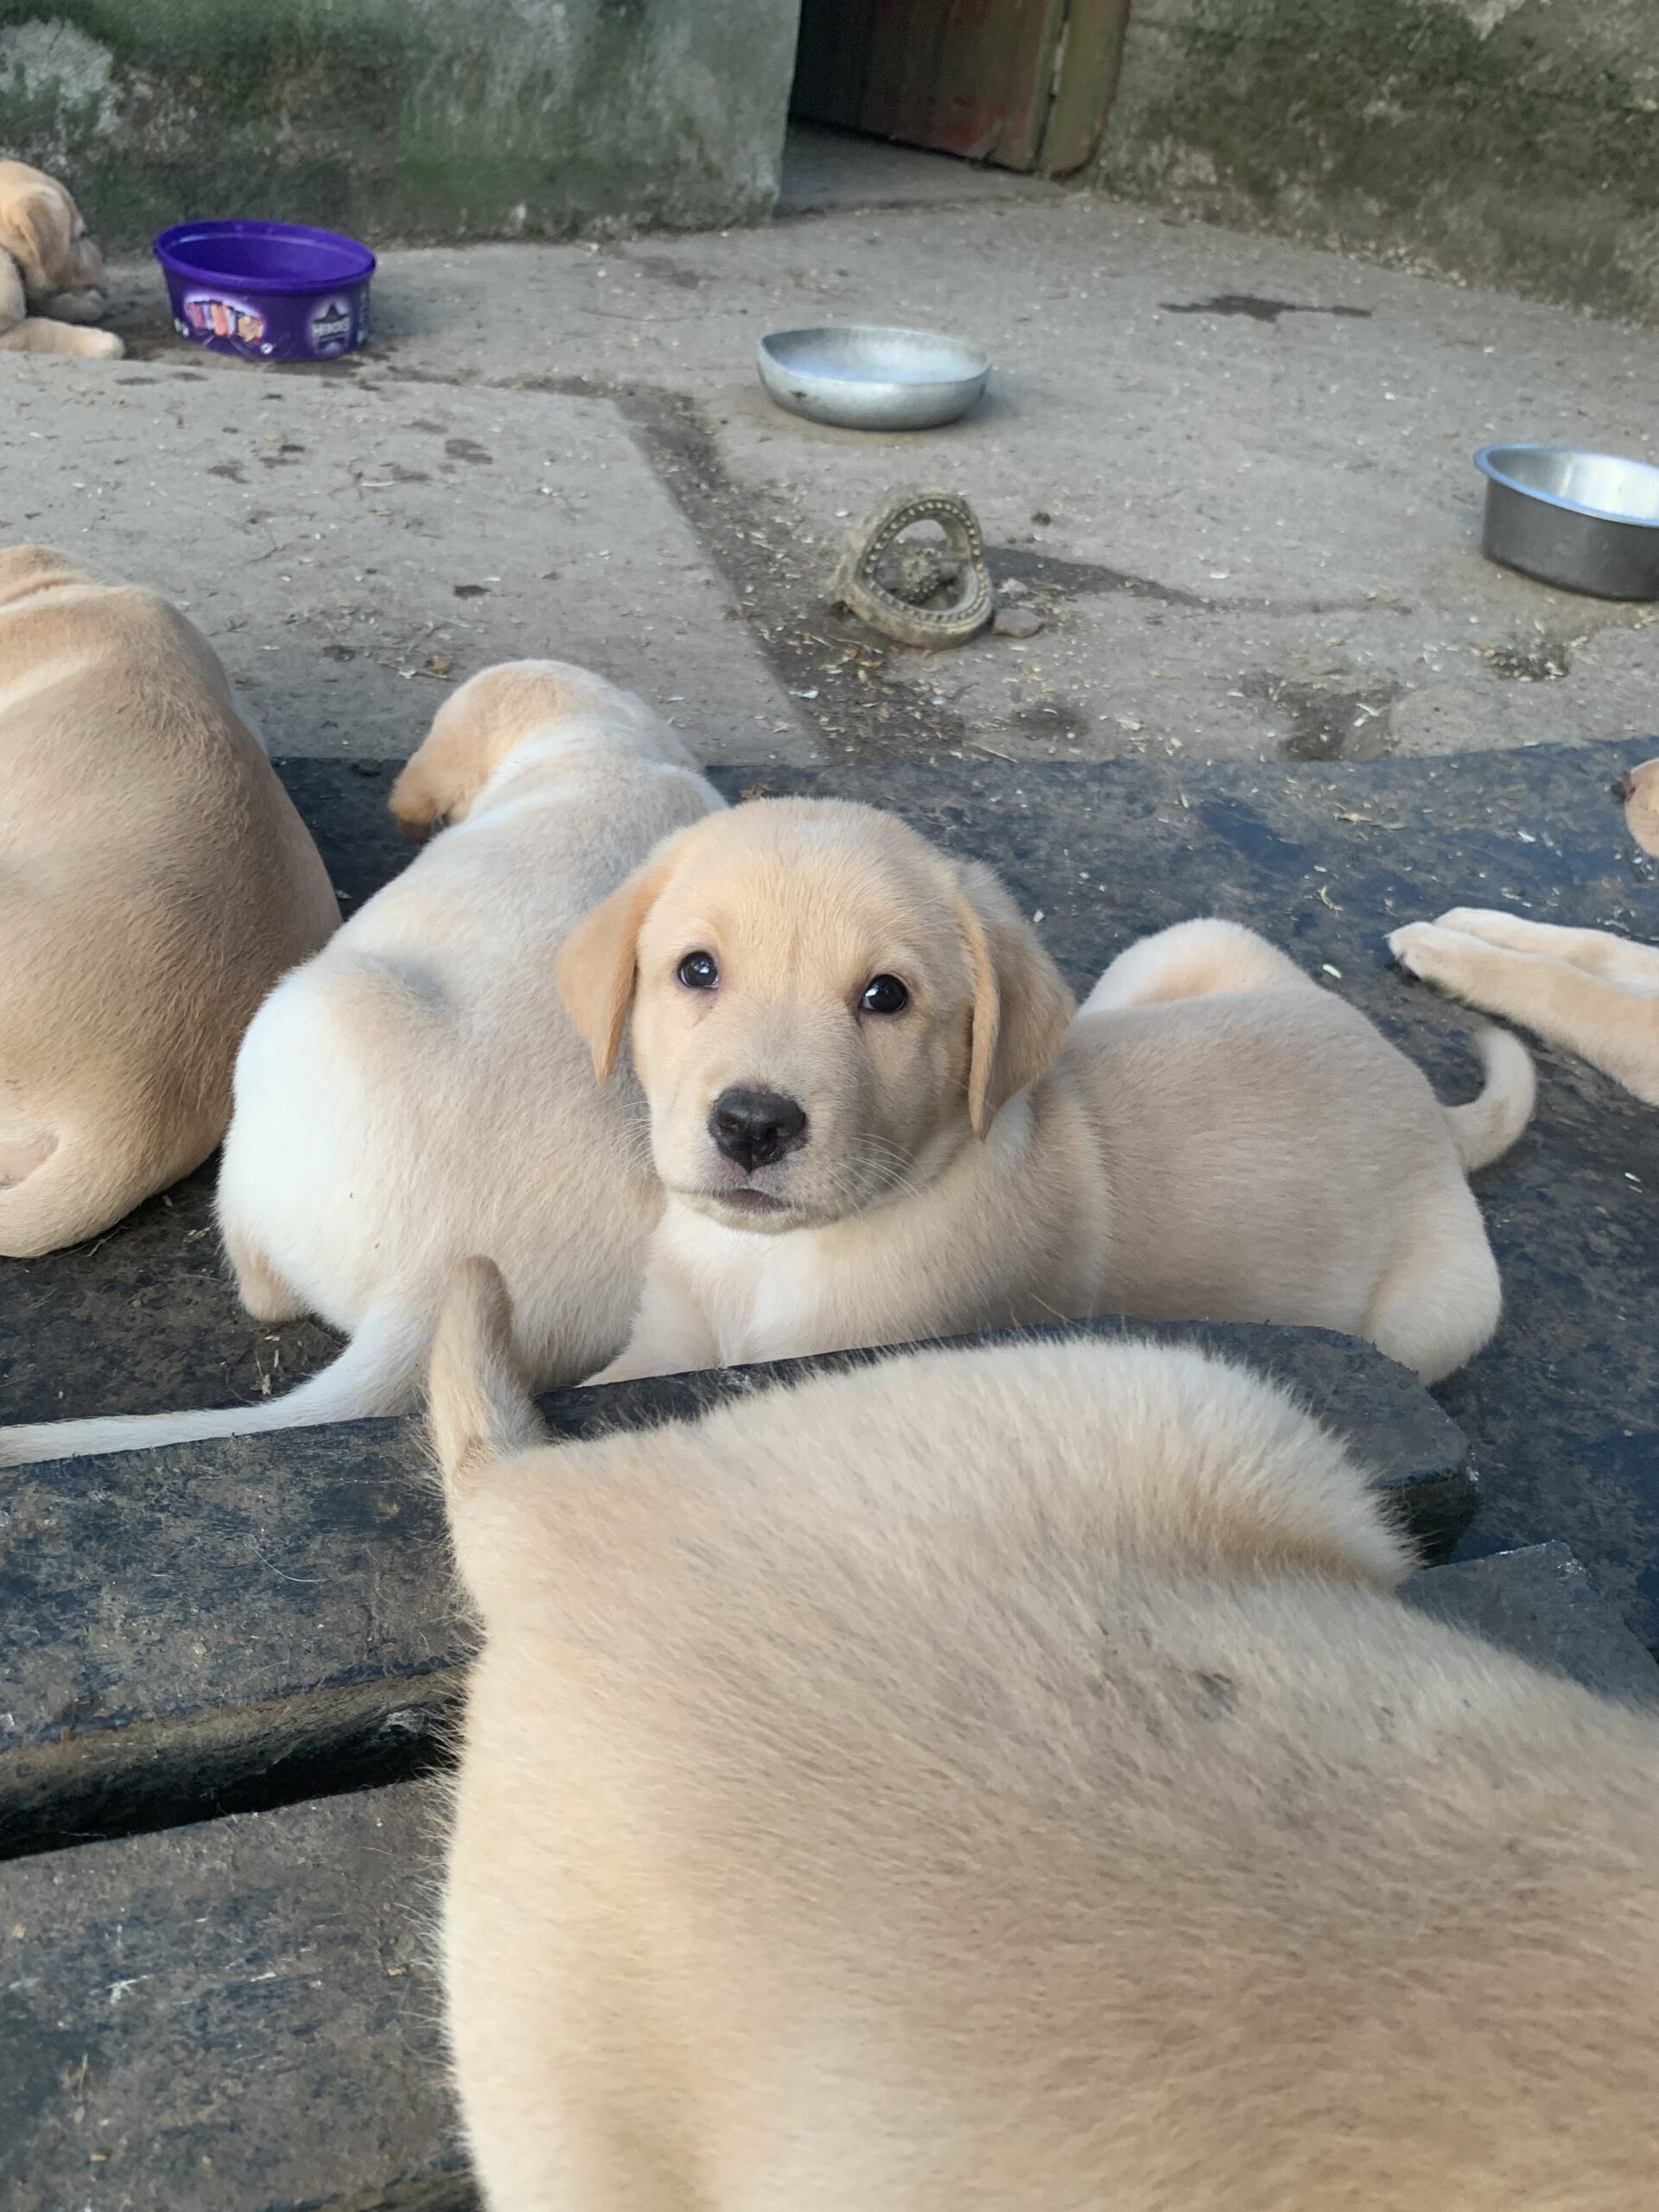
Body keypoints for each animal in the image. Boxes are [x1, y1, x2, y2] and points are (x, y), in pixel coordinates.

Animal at [559, 796, 1530, 1380]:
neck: (770, 1262)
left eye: (886, 996)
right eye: (696, 970)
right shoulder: (665, 1336)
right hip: (1185, 946)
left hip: (1434, 1316)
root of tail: (1423, 1100)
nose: (754, 1125)